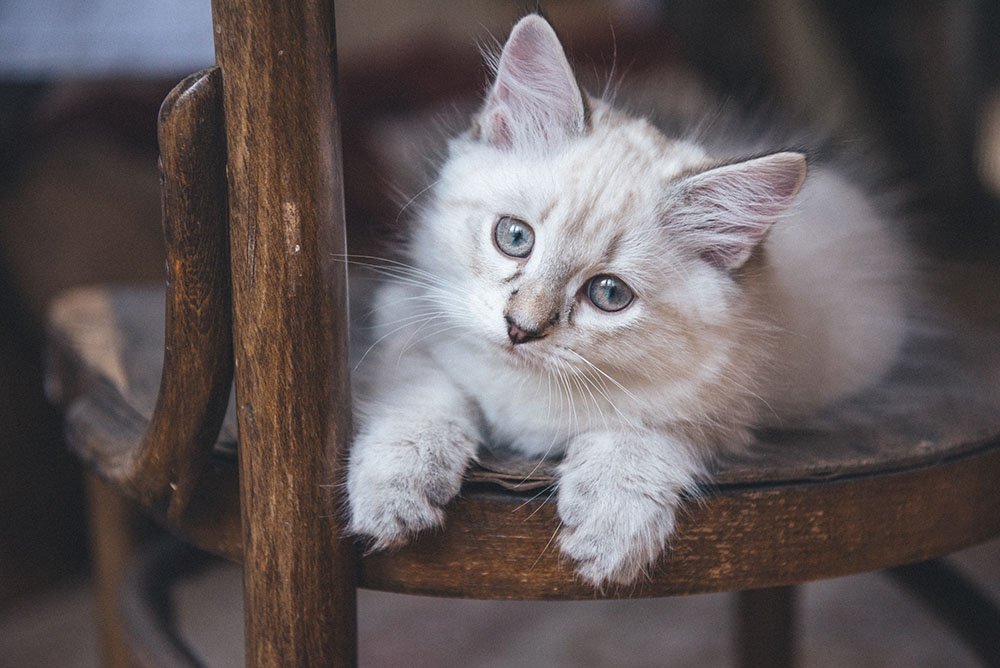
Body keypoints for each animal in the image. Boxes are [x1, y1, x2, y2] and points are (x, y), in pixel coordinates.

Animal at [346, 11, 916, 584]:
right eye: (514, 237)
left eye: (608, 294)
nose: (519, 328)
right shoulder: (405, 320)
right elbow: (423, 399)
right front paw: (394, 494)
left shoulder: (720, 405)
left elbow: (641, 436)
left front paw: (611, 530)